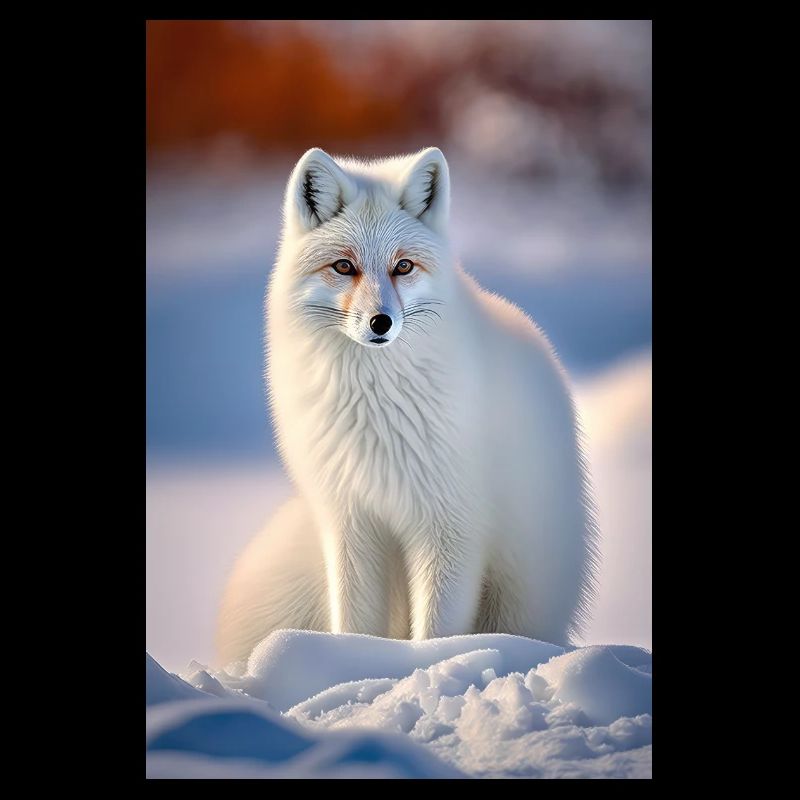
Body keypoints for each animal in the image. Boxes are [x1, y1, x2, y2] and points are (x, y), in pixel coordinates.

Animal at [216, 147, 599, 666]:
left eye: (403, 267)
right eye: (343, 266)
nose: (381, 322)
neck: (374, 408)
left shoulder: (450, 525)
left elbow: (437, 632)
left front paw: (427, 668)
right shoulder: (351, 521)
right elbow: (354, 624)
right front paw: (350, 665)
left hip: (521, 585)